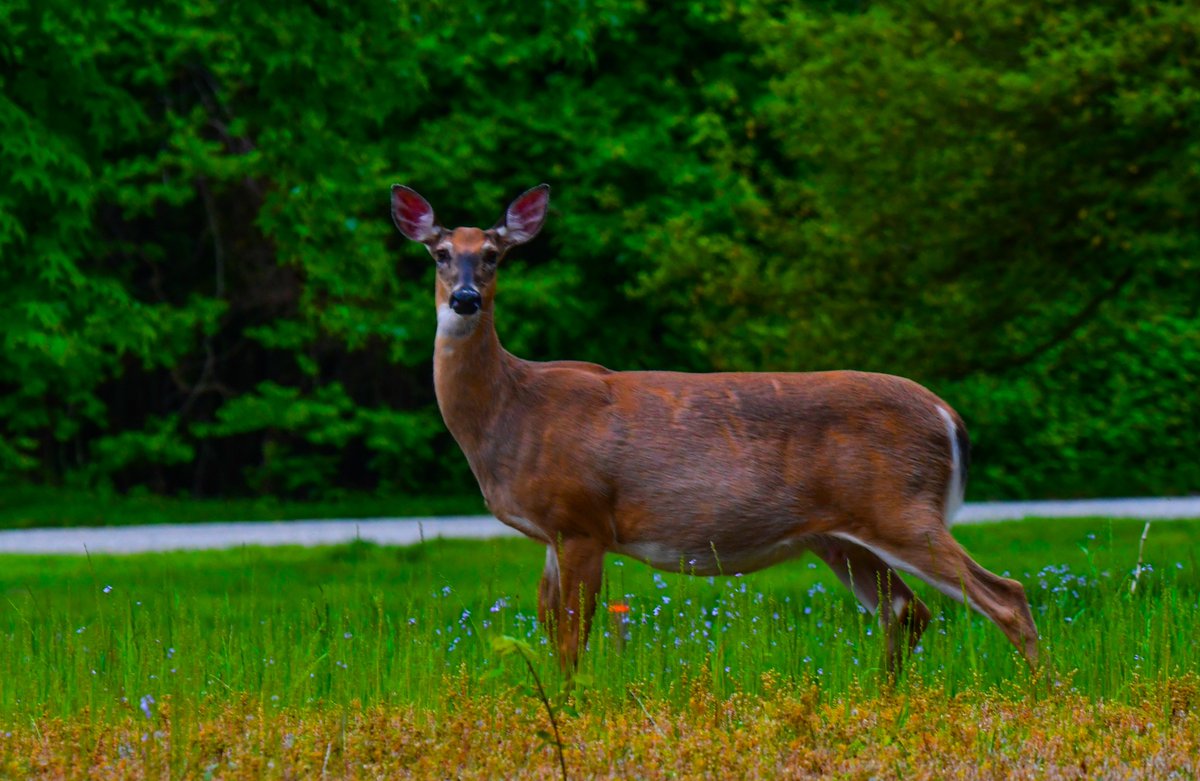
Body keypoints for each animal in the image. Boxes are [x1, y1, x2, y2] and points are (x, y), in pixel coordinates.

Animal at [388, 182, 1036, 671]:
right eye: (439, 253)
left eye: (493, 254)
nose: (465, 298)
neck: (512, 411)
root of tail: (949, 418)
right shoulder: (554, 533)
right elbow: (551, 628)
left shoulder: (581, 519)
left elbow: (573, 638)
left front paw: (572, 708)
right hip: (841, 536)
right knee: (908, 612)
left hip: (902, 508)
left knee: (1005, 597)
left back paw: (1041, 697)